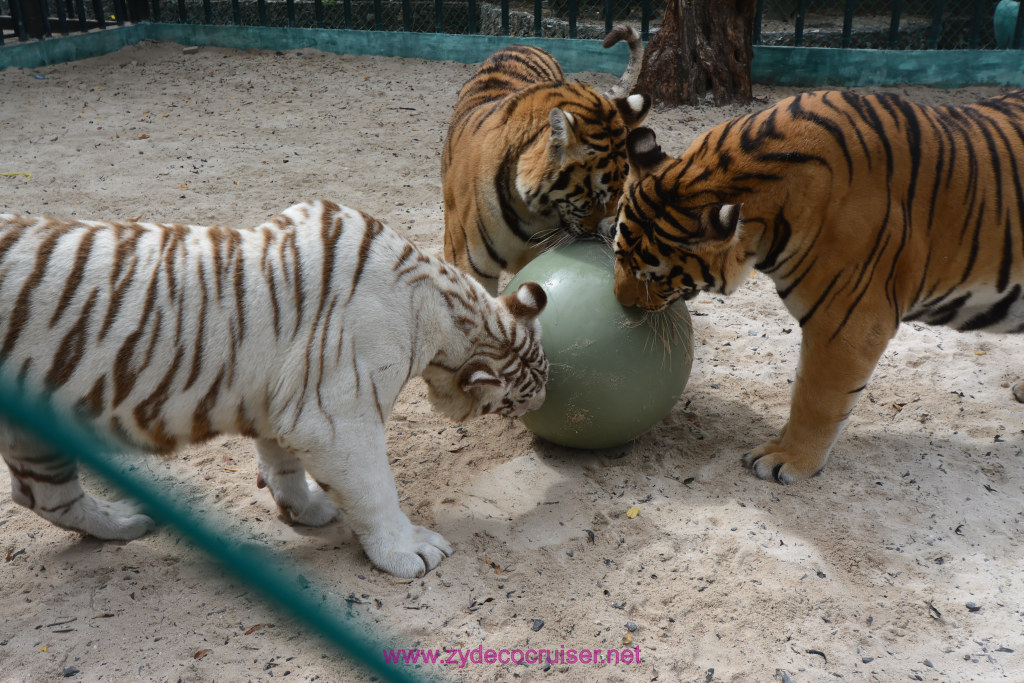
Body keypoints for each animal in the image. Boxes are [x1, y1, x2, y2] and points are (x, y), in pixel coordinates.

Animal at [0, 200, 552, 581]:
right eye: (518, 401)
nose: (545, 401)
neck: (446, 307)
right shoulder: (339, 417)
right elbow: (375, 489)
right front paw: (407, 550)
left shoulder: (287, 401)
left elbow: (281, 460)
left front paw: (302, 508)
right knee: (44, 497)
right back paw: (126, 519)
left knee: (41, 497)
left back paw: (123, 519)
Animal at [438, 22, 647, 290]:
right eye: (595, 198)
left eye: (621, 193)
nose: (612, 231)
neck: (526, 214)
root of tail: (520, 42)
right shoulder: (467, 264)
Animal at [606, 90, 1024, 483]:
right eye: (617, 249)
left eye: (654, 276)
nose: (619, 302)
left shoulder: (849, 322)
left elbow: (816, 399)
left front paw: (787, 459)